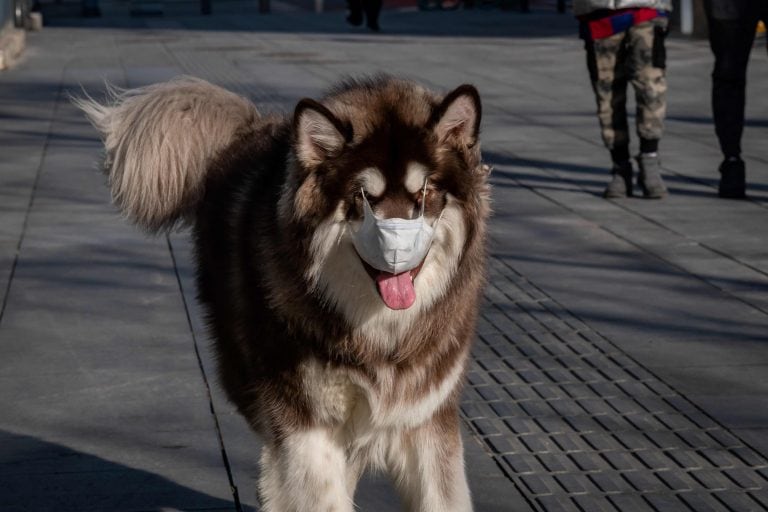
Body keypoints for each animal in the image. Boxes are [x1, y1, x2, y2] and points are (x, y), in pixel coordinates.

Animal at [78, 74, 492, 510]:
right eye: (363, 198)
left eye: (424, 194)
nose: (395, 250)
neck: (379, 332)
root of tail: (252, 127)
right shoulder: (305, 418)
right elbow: (318, 489)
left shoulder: (426, 417)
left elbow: (440, 496)